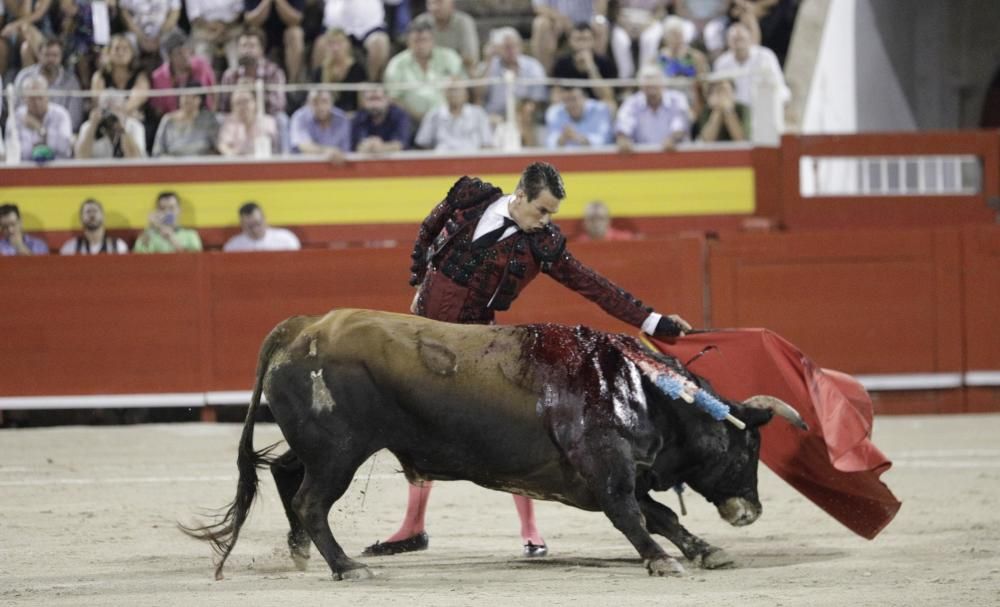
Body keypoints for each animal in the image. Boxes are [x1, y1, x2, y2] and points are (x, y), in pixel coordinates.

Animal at [180, 312, 804, 580]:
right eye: (747, 450)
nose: (751, 511)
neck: (640, 388)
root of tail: (301, 329)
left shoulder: (603, 476)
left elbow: (661, 515)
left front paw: (705, 550)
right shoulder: (604, 469)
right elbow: (634, 515)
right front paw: (662, 561)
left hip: (322, 446)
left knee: (287, 474)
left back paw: (302, 552)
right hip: (340, 452)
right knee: (311, 500)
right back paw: (347, 566)